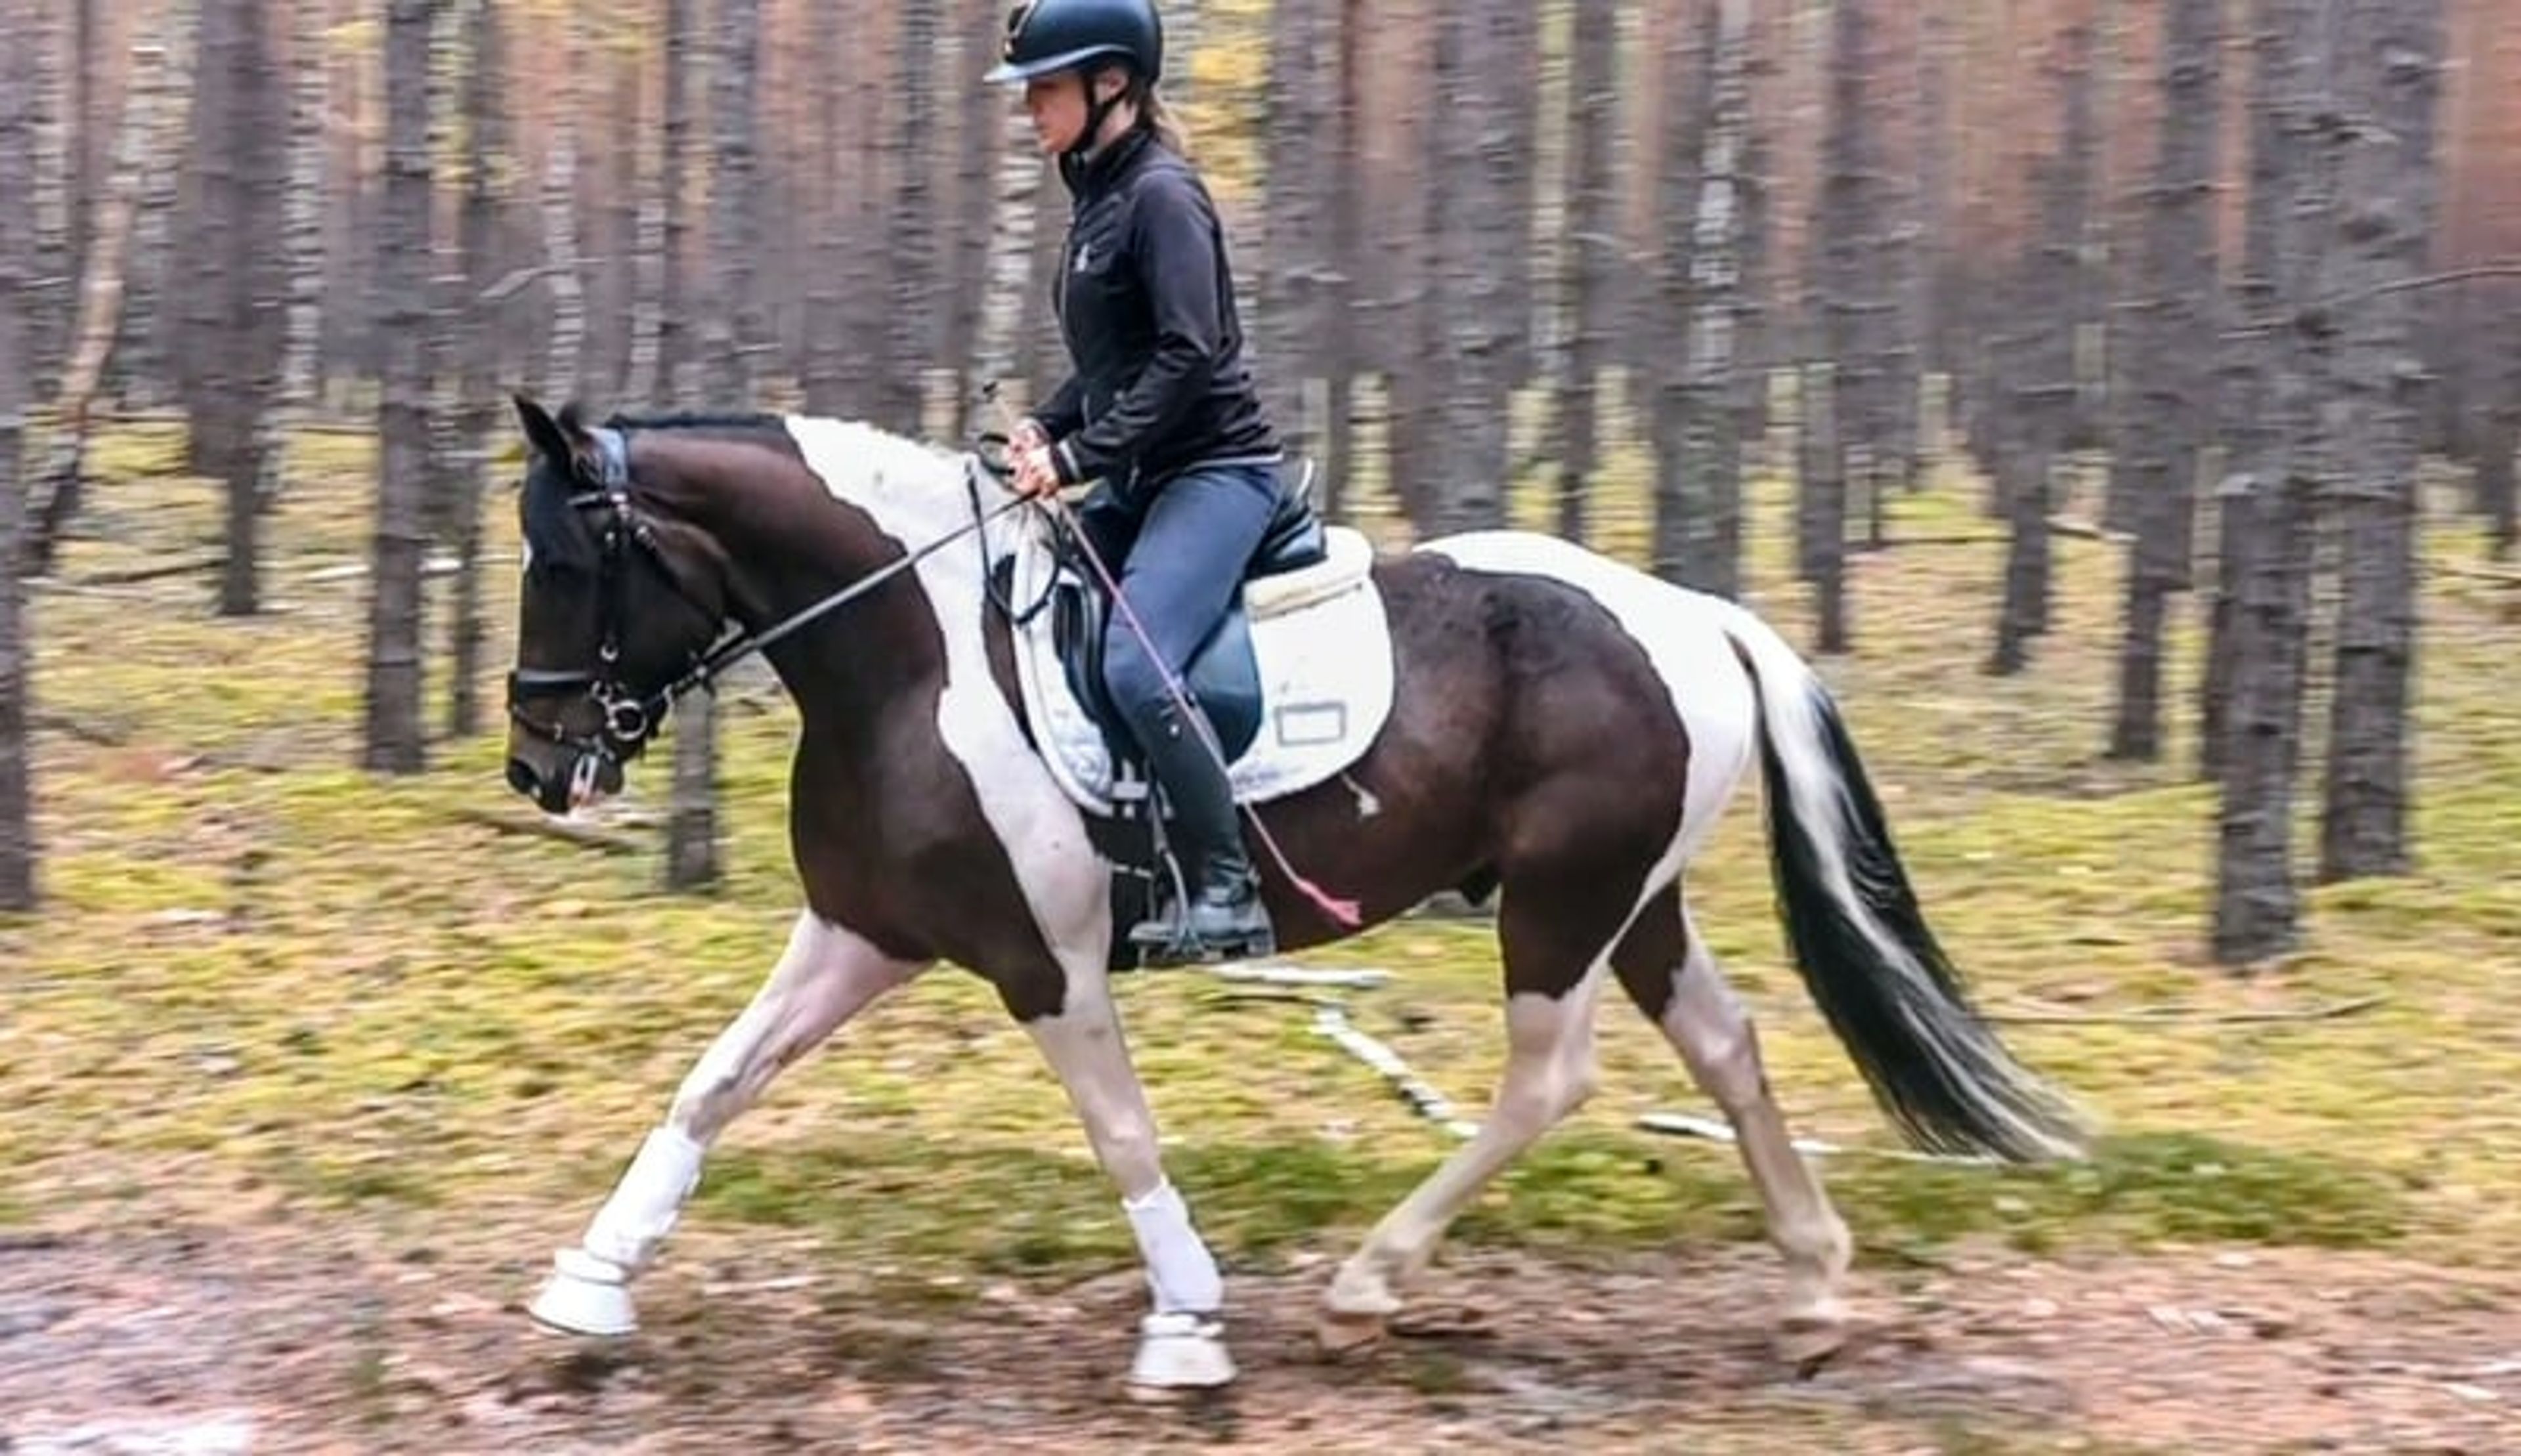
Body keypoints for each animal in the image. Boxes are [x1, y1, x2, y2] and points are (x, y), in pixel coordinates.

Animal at [497, 393, 2086, 1395]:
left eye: (571, 560)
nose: (539, 765)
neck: (910, 652)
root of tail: (1694, 614)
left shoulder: (1044, 960)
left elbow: (1123, 1131)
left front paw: (1188, 1327)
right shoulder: (862, 931)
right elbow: (713, 1083)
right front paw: (588, 1283)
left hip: (1563, 902)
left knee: (1549, 1078)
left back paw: (1369, 1286)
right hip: (1635, 901)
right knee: (1728, 1048)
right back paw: (1813, 1293)